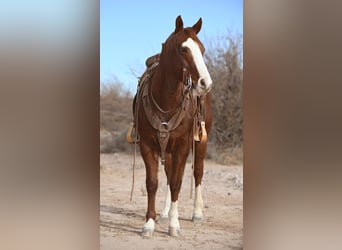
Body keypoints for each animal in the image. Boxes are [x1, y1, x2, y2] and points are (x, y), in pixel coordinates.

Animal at [133, 14, 211, 237]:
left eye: (202, 49)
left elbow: (177, 183)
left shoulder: (183, 146)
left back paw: (197, 213)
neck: (166, 101)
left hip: (201, 142)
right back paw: (165, 213)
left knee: (197, 173)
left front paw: (174, 225)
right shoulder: (148, 145)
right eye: (184, 49)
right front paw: (149, 223)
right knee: (168, 175)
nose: (205, 83)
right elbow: (153, 183)